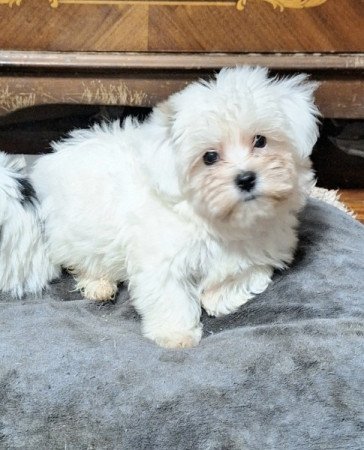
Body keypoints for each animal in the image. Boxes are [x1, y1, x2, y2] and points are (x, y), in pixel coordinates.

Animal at [0, 67, 318, 348]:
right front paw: (176, 335)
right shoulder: (161, 258)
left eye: (260, 141)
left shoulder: (266, 250)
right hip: (78, 231)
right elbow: (170, 295)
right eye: (209, 157)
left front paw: (219, 298)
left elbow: (244, 273)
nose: (246, 178)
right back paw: (98, 284)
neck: (225, 221)